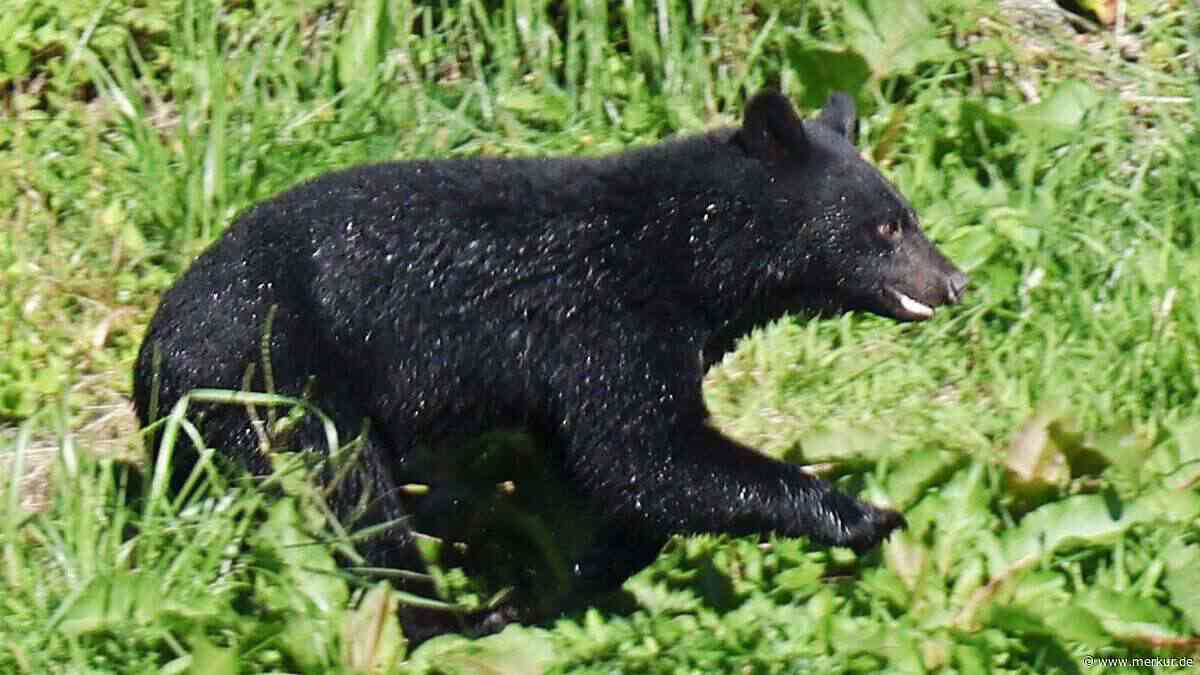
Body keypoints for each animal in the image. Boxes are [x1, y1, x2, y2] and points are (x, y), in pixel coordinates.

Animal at [132, 90, 967, 641]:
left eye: (909, 214)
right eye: (887, 227)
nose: (955, 280)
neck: (684, 251)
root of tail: (152, 356)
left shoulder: (562, 375)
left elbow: (603, 478)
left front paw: (562, 585)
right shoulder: (605, 322)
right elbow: (643, 453)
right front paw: (864, 514)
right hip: (274, 380)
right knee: (352, 495)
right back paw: (442, 619)